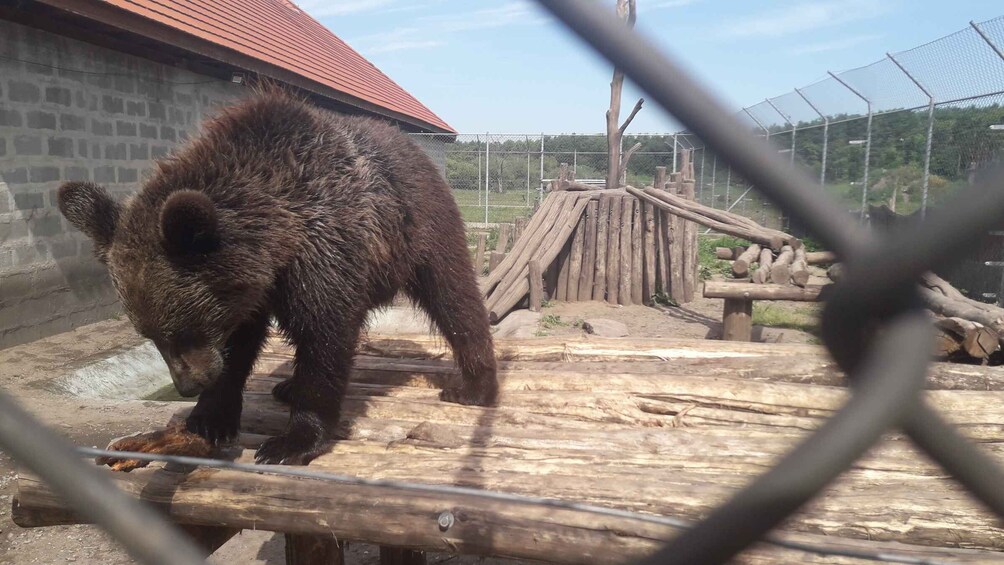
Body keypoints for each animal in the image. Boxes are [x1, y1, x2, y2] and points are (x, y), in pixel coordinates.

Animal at [58, 85, 497, 463]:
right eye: (150, 335)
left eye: (184, 330)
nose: (188, 385)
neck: (276, 237)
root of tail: (414, 146)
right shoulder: (249, 291)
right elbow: (241, 345)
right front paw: (209, 417)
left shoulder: (325, 248)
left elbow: (325, 335)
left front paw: (292, 441)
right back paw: (286, 385)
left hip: (424, 229)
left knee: (455, 299)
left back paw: (475, 386)